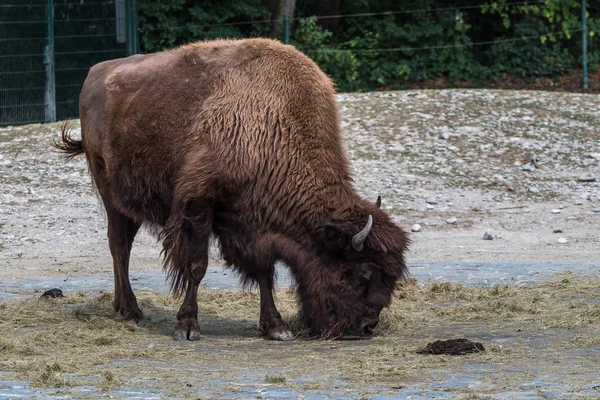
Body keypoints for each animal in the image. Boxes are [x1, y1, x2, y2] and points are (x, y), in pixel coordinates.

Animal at [56, 38, 410, 340]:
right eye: (363, 274)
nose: (366, 327)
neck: (275, 123)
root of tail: (95, 74)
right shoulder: (199, 204)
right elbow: (197, 266)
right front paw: (187, 327)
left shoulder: (254, 223)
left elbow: (265, 271)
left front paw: (276, 327)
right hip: (110, 194)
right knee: (119, 246)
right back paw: (132, 312)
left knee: (123, 245)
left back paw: (123, 308)